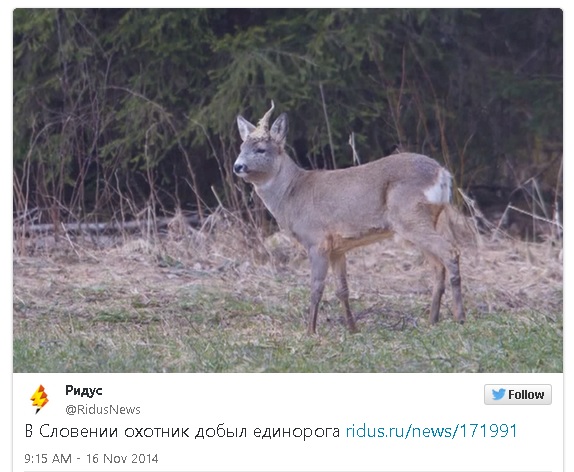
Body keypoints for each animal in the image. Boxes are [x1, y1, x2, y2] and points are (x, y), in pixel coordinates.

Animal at [236, 101, 466, 334]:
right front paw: (352, 328)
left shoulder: (316, 240)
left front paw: (310, 331)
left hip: (410, 215)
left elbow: (316, 287)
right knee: (438, 265)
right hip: (420, 221)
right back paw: (432, 320)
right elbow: (342, 289)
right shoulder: (337, 248)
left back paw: (460, 317)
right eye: (241, 149)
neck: (292, 194)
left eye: (260, 149)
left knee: (450, 251)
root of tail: (443, 174)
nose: (238, 166)